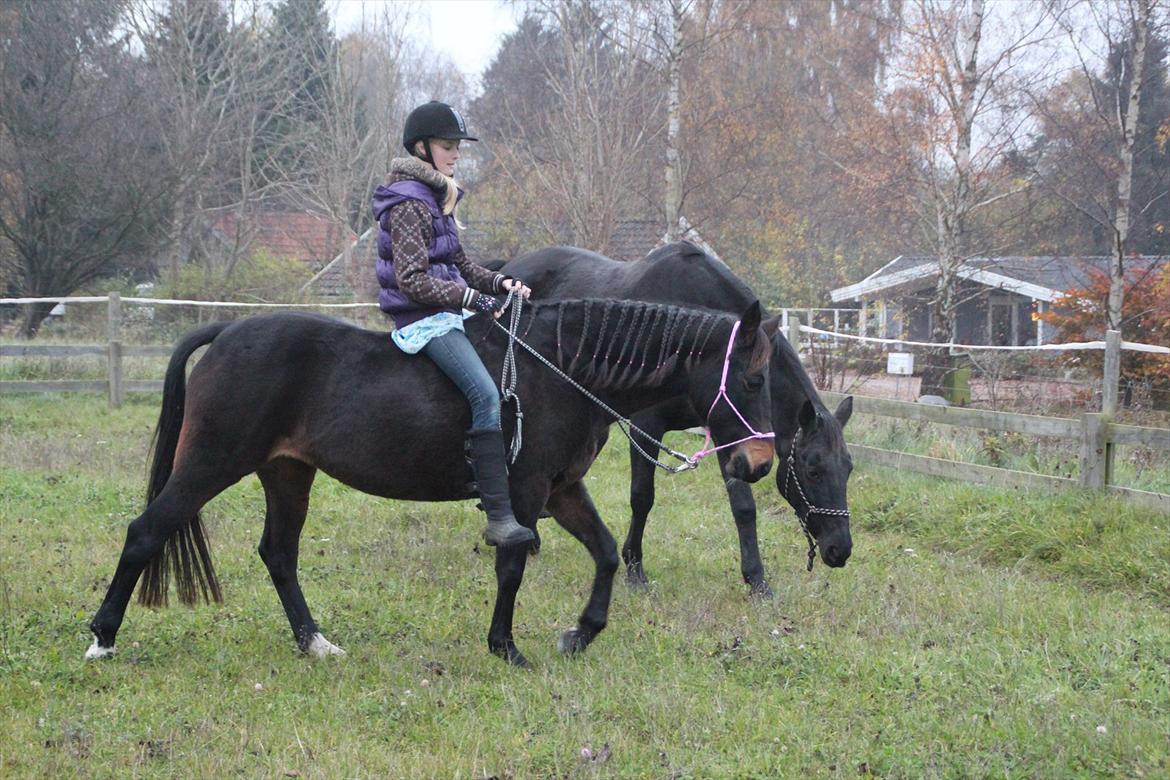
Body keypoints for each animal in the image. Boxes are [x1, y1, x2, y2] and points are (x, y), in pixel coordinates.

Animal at [85, 298, 777, 666]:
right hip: (211, 463)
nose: (760, 464)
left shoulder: (561, 491)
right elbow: (512, 564)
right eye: (751, 380)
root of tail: (227, 332)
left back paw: (315, 643)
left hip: (287, 474)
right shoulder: (524, 494)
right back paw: (102, 639)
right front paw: (506, 647)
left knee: (278, 555)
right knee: (145, 531)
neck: (558, 372)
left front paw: (580, 634)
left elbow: (606, 553)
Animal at [495, 243, 854, 597]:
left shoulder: (729, 432)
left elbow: (743, 507)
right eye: (813, 471)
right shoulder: (646, 427)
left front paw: (757, 579)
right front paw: (635, 569)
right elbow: (642, 497)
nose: (840, 549)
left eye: (848, 469)